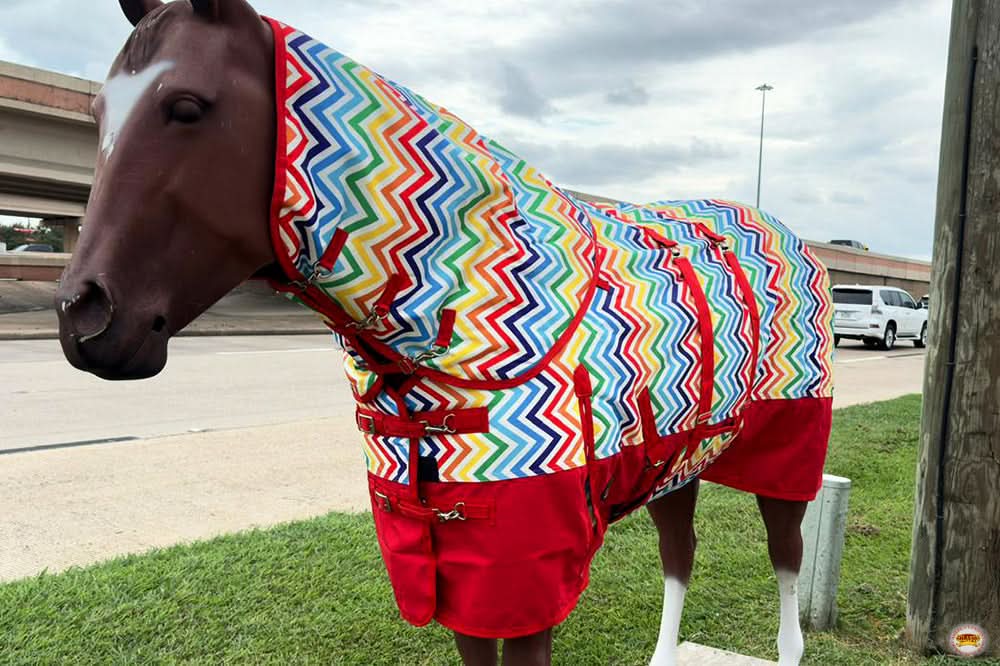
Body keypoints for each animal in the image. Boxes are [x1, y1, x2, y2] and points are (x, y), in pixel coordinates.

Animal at [56, 2, 835, 664]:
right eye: (96, 112)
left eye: (187, 106)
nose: (83, 318)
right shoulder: (454, 574)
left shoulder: (524, 578)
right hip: (682, 458)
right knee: (681, 553)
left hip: (787, 453)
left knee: (785, 557)